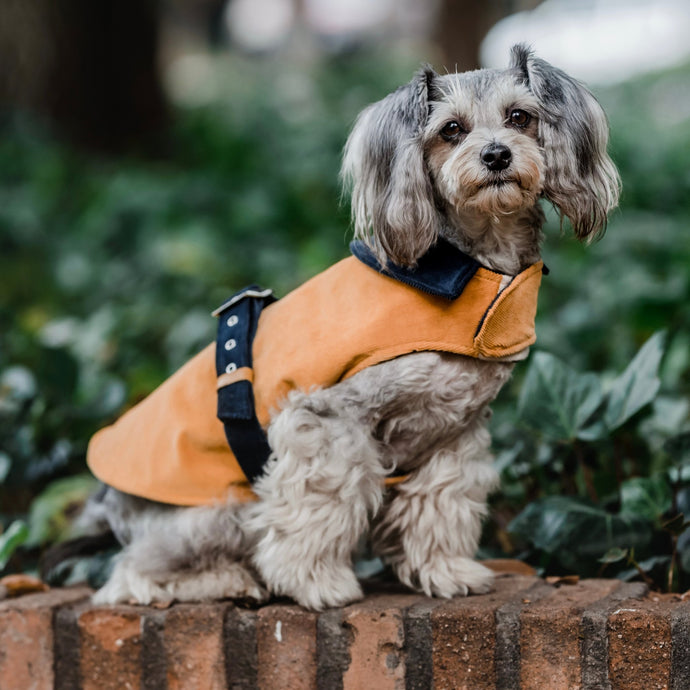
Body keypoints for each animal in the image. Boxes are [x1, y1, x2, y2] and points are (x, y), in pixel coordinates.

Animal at [79, 44, 620, 608]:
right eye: (451, 129)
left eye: (520, 117)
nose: (496, 155)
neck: (465, 273)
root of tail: (107, 500)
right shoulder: (325, 420)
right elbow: (320, 506)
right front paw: (314, 581)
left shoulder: (452, 436)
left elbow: (440, 505)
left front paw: (444, 569)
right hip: (216, 511)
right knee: (129, 576)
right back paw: (226, 580)